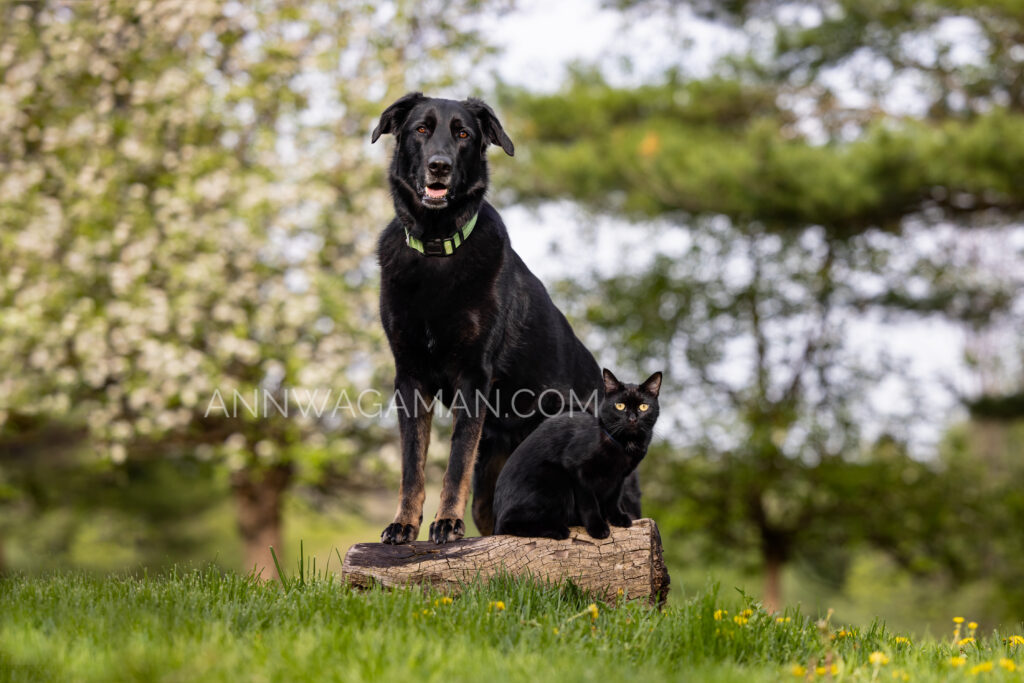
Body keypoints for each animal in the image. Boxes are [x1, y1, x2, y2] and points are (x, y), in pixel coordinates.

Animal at [374, 94, 630, 544]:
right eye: (421, 129)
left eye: (463, 134)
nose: (439, 165)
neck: (437, 246)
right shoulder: (409, 378)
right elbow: (411, 465)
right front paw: (404, 523)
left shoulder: (473, 376)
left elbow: (456, 461)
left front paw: (446, 523)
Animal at [493, 368, 663, 540]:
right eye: (620, 406)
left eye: (643, 407)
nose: (633, 419)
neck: (624, 445)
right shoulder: (577, 470)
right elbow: (589, 503)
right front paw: (597, 527)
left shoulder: (619, 477)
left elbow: (614, 498)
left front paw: (617, 518)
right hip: (554, 476)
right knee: (509, 523)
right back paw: (558, 530)